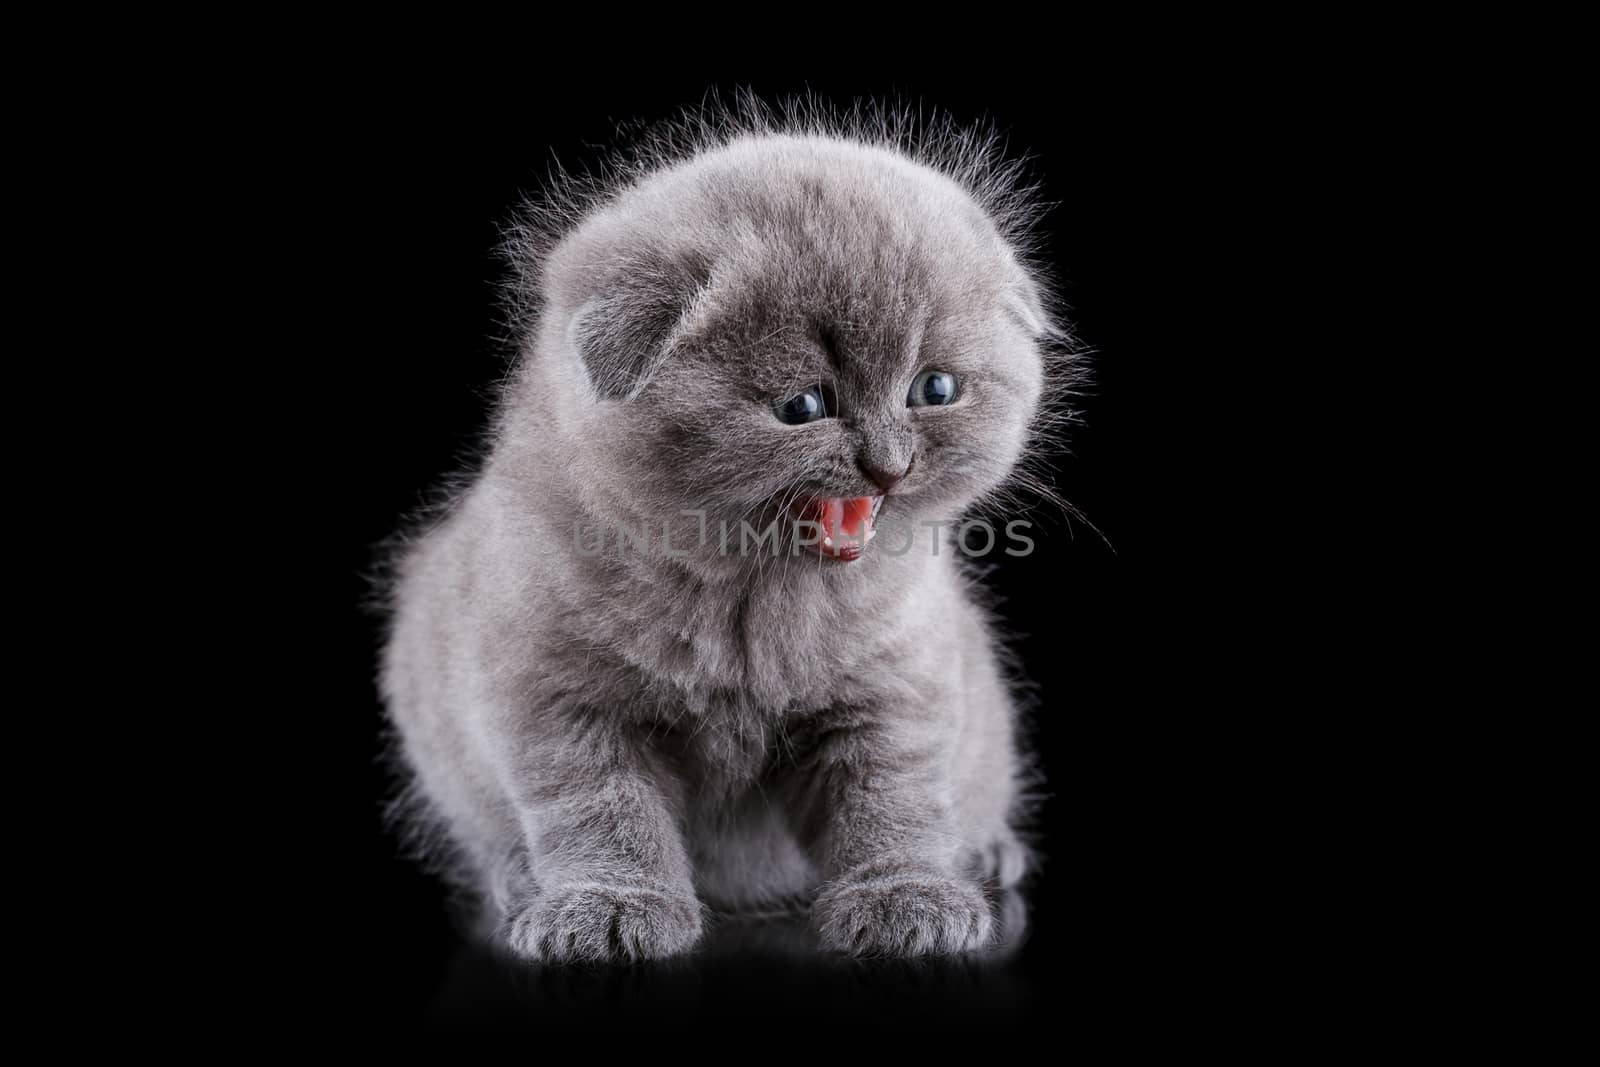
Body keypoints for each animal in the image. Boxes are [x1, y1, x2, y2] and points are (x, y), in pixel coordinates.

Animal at [379, 99, 1075, 966]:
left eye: (935, 389)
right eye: (802, 406)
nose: (889, 464)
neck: (755, 611)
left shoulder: (894, 686)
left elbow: (890, 795)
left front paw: (908, 895)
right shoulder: (554, 696)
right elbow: (601, 808)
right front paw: (611, 906)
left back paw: (984, 852)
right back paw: (516, 876)